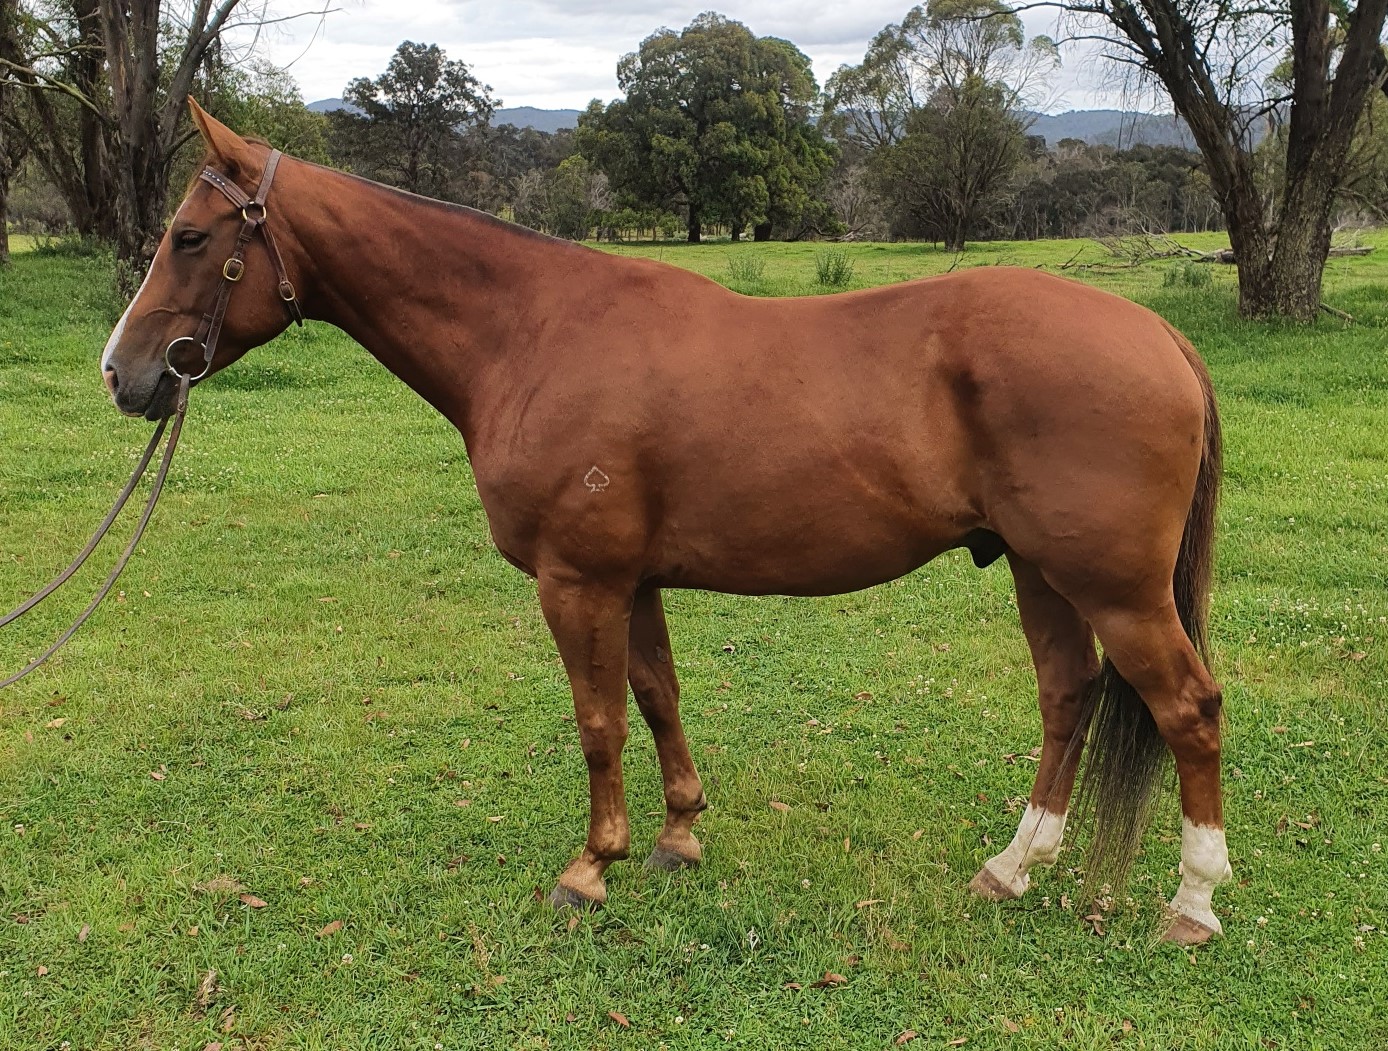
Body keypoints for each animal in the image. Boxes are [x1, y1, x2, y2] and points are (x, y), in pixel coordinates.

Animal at [98, 100, 1230, 945]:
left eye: (189, 237)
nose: (124, 372)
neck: (532, 333)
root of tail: (1159, 333)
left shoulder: (577, 581)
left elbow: (597, 720)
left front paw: (590, 866)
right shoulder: (632, 579)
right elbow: (655, 698)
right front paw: (679, 836)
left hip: (1115, 587)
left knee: (1187, 707)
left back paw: (1191, 901)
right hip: (1041, 571)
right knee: (1068, 694)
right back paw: (1013, 866)